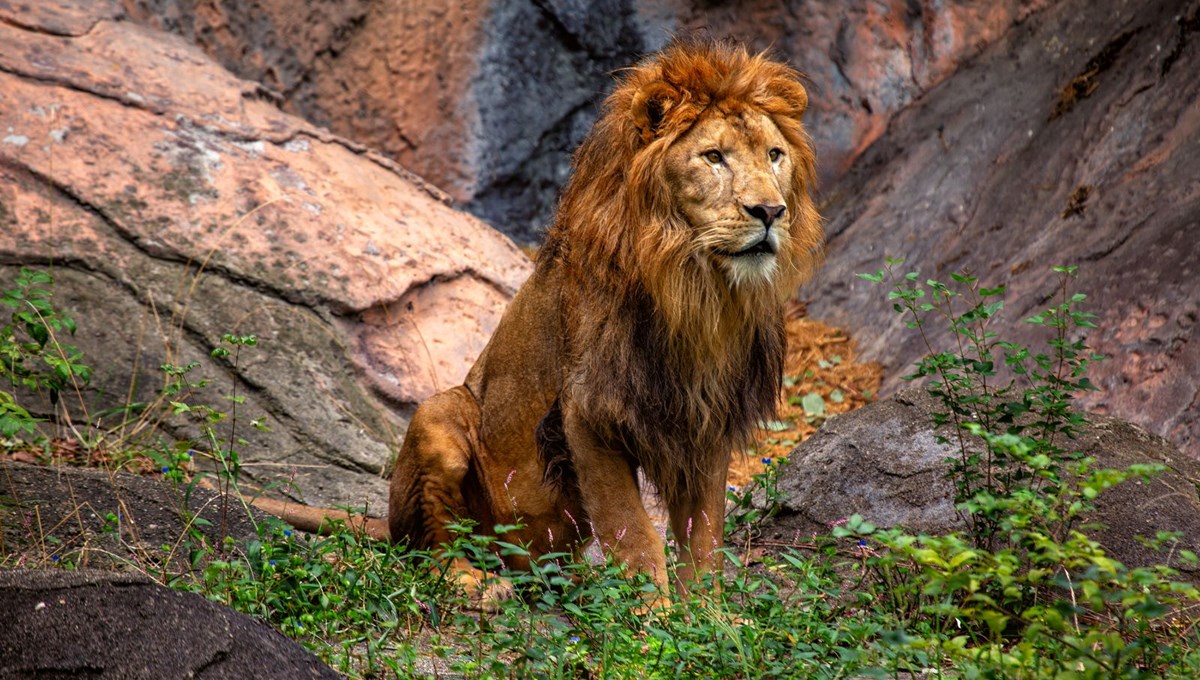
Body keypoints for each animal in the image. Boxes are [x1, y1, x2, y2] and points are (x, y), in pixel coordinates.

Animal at [264, 38, 825, 602]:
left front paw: (706, 614)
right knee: (432, 546)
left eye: (773, 155)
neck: (697, 288)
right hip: (438, 416)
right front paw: (652, 612)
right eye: (714, 157)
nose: (770, 211)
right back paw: (474, 582)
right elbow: (631, 526)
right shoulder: (590, 410)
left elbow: (704, 532)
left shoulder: (707, 412)